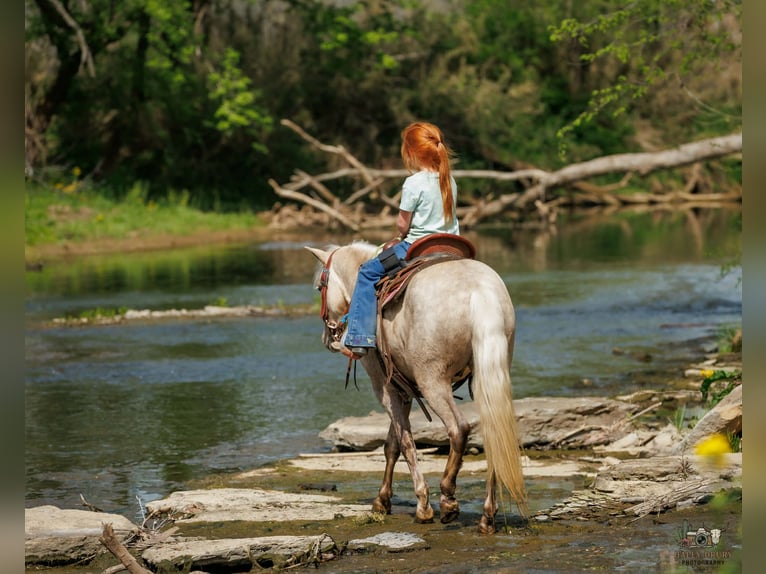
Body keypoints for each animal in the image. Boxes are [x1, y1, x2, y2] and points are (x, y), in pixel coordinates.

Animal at [305, 241, 527, 533]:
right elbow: (392, 445)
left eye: (320, 287)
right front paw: (382, 500)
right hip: (485, 376)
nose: (327, 339)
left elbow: (405, 442)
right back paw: (487, 517)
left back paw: (448, 500)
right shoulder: (404, 389)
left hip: (432, 381)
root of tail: (481, 291)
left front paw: (423, 506)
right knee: (494, 436)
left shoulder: (385, 388)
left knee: (459, 429)